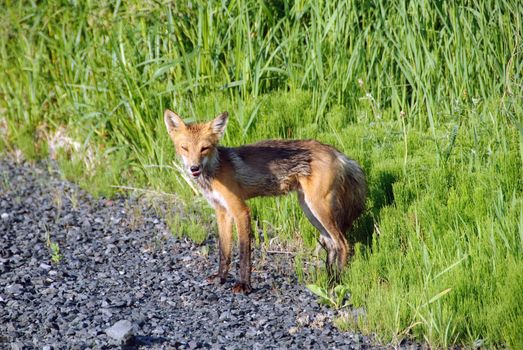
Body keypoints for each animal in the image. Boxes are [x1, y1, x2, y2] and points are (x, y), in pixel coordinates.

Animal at [165, 108, 368, 292]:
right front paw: (221, 277)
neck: (215, 170)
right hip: (309, 210)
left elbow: (244, 252)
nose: (194, 168)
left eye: (204, 148)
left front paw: (244, 285)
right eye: (184, 148)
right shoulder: (222, 211)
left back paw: (337, 283)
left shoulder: (241, 211)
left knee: (343, 244)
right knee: (332, 244)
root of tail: (337, 153)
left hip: (320, 208)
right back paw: (329, 280)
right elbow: (224, 251)